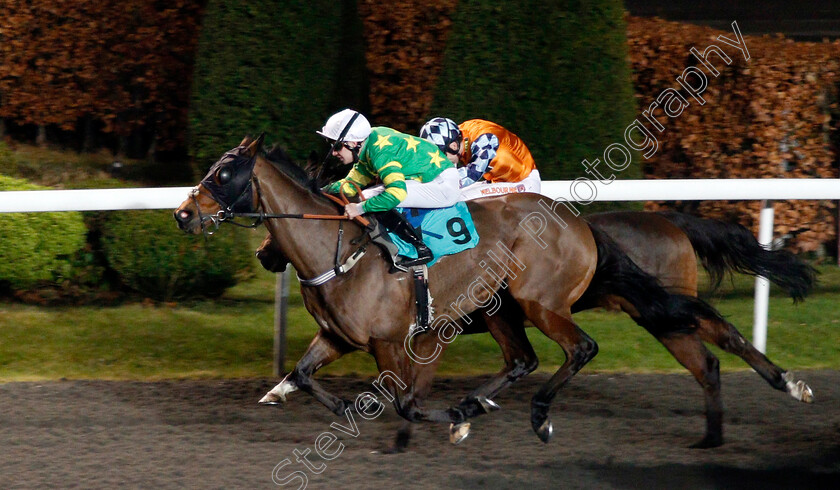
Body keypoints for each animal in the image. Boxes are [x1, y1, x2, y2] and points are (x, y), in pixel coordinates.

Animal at [174, 135, 720, 444]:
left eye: (224, 173)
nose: (182, 214)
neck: (339, 252)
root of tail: (580, 223)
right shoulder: (338, 336)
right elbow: (304, 374)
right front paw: (329, 402)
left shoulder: (397, 340)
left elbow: (406, 402)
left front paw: (441, 422)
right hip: (501, 307)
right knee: (523, 359)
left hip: (540, 302)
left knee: (582, 348)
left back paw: (538, 416)